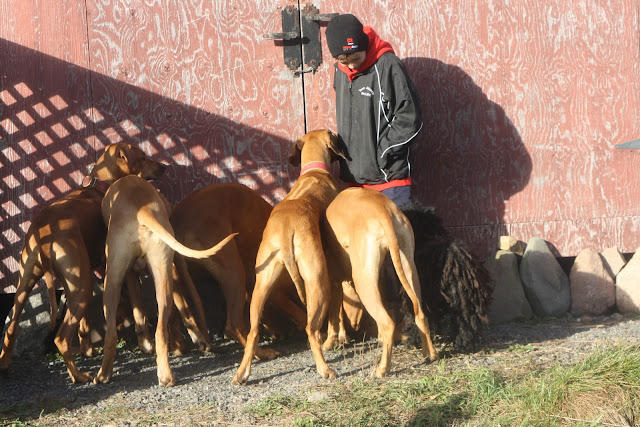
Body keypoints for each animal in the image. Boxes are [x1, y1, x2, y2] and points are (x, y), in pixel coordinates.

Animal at [0, 143, 166, 383]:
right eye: (143, 157)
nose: (164, 166)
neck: (101, 183)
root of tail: (45, 233)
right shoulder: (124, 271)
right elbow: (137, 308)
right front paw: (145, 345)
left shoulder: (91, 270)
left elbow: (86, 322)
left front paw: (88, 349)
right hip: (83, 288)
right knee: (60, 339)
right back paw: (78, 375)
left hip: (28, 285)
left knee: (12, 328)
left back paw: (4, 364)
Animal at [232, 129, 345, 385]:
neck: (314, 170)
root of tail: (285, 231)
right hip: (317, 280)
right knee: (311, 330)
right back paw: (325, 369)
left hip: (261, 284)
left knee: (253, 332)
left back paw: (242, 373)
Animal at [321, 187, 438, 377]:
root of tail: (383, 211)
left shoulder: (335, 280)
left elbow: (335, 313)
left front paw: (331, 341)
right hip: (408, 268)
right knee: (419, 313)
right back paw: (431, 354)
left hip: (363, 280)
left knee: (387, 323)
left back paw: (383, 368)